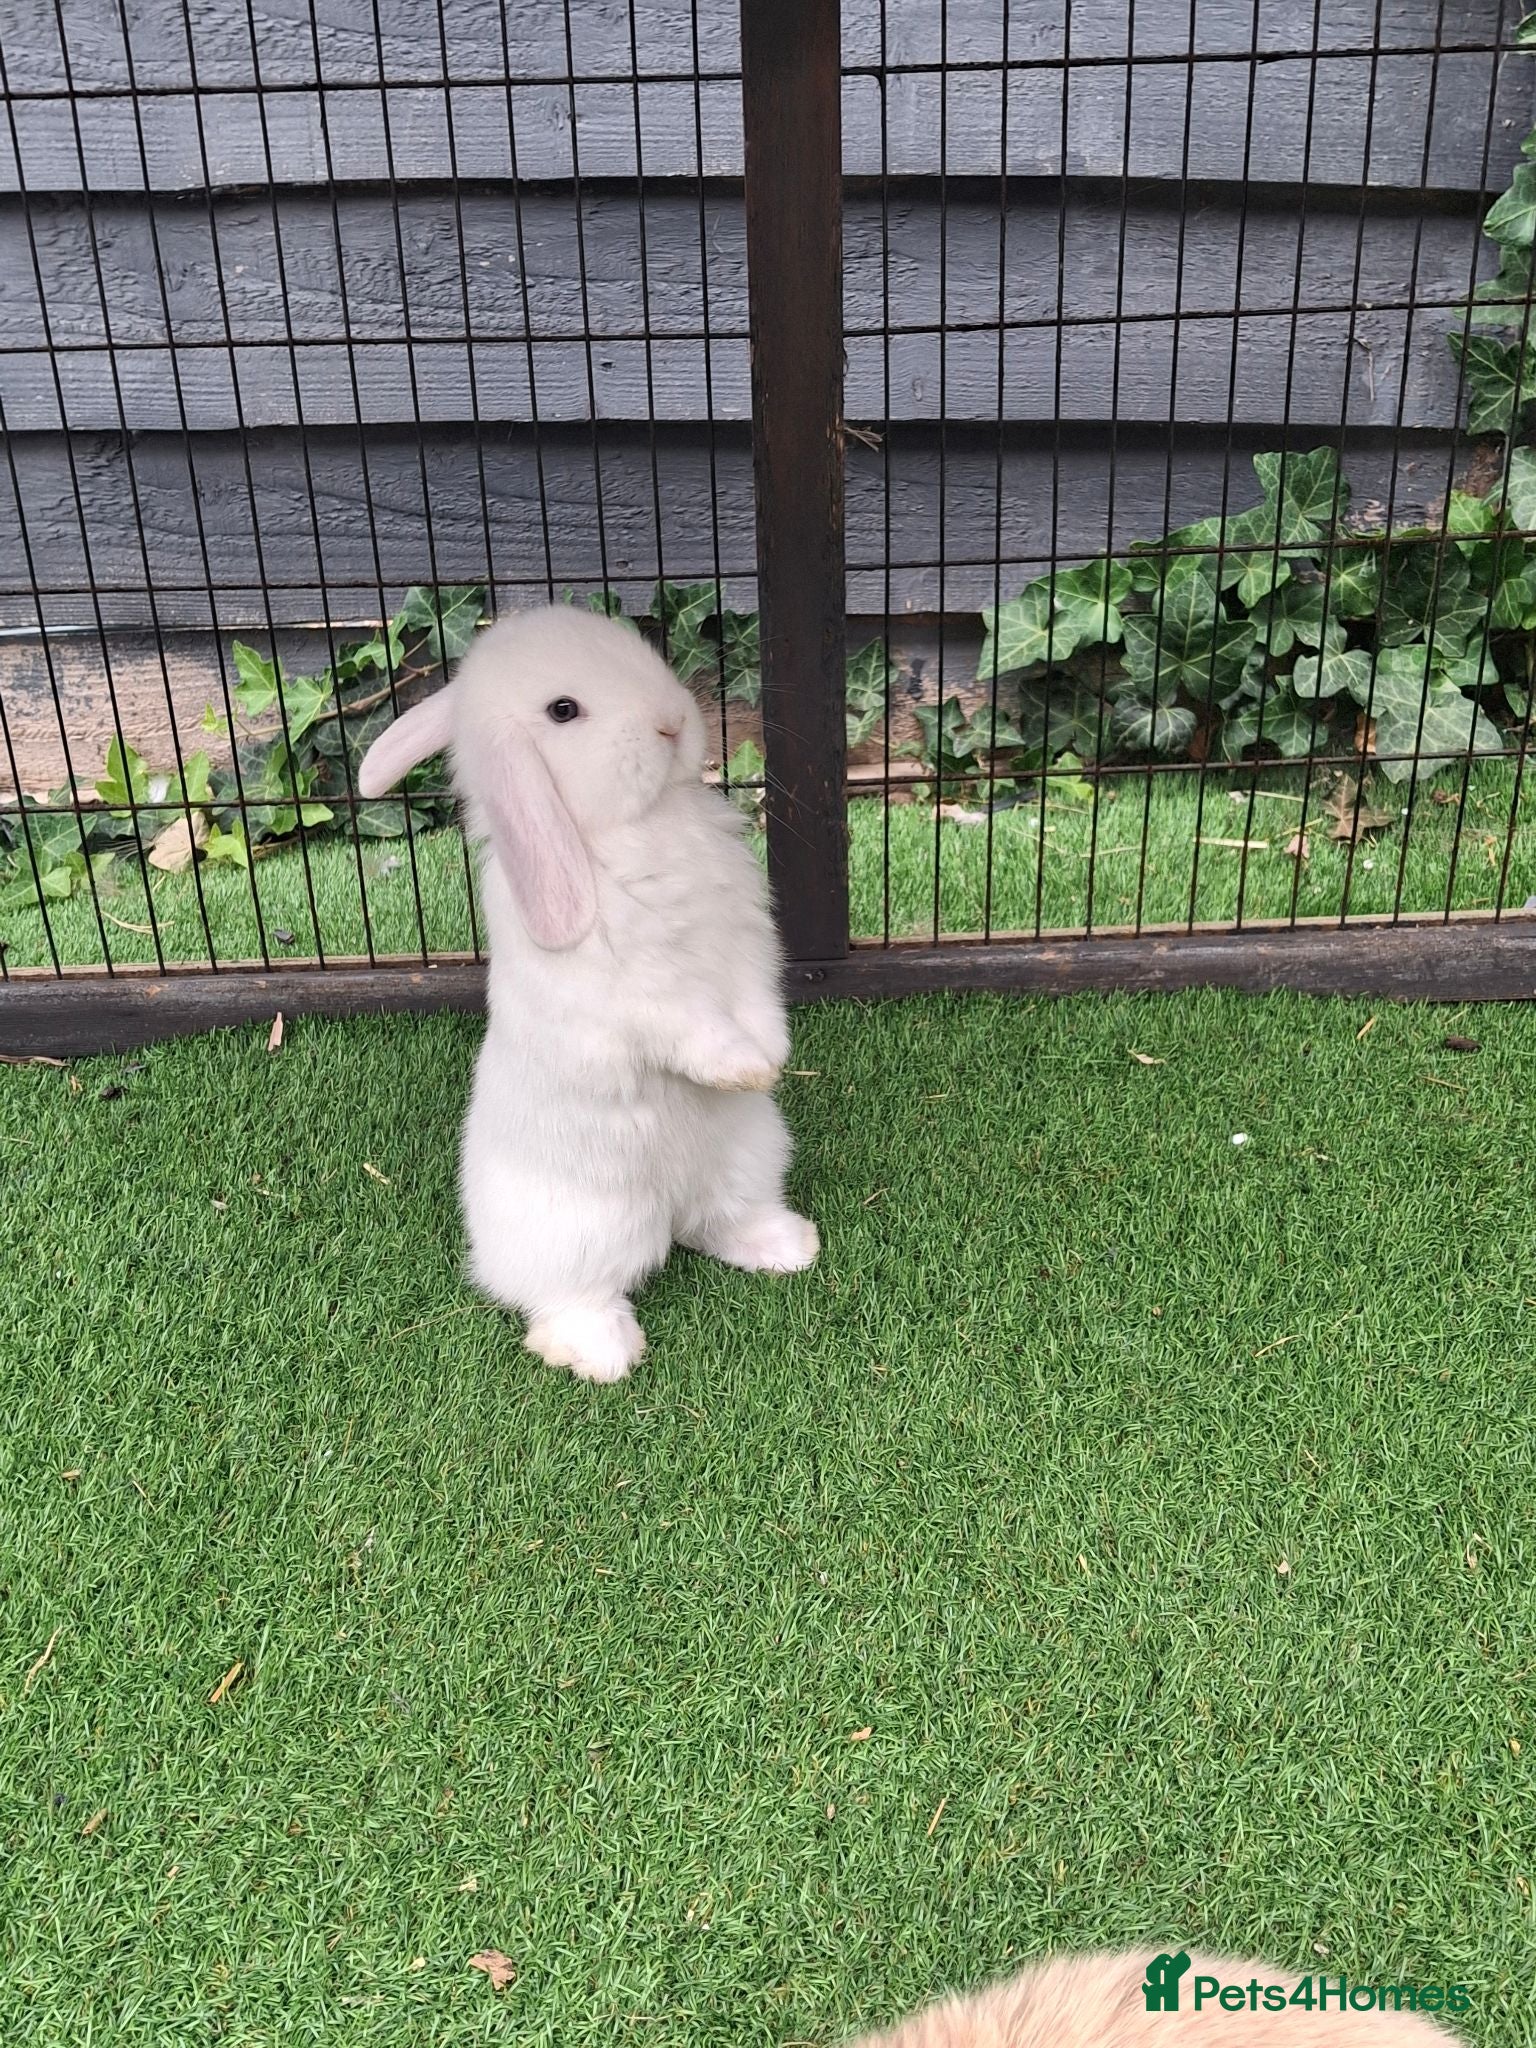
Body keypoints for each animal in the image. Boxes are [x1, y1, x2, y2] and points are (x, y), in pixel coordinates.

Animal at [355, 604, 818, 1384]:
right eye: (563, 711)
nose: (672, 723)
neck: (636, 825)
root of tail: (669, 1208)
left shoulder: (747, 944)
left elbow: (755, 997)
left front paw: (772, 1058)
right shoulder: (642, 992)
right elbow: (693, 1026)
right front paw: (745, 1068)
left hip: (750, 1157)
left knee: (720, 1222)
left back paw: (790, 1246)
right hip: (584, 1228)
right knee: (566, 1296)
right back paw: (602, 1355)